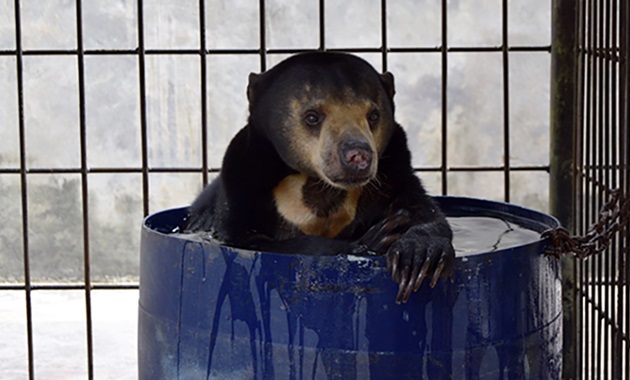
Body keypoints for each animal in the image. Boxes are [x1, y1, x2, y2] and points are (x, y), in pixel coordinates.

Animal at [181, 52, 454, 304]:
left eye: (373, 116)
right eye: (312, 116)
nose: (358, 155)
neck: (319, 186)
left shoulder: (393, 170)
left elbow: (421, 209)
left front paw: (419, 255)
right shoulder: (242, 183)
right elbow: (253, 240)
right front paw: (372, 240)